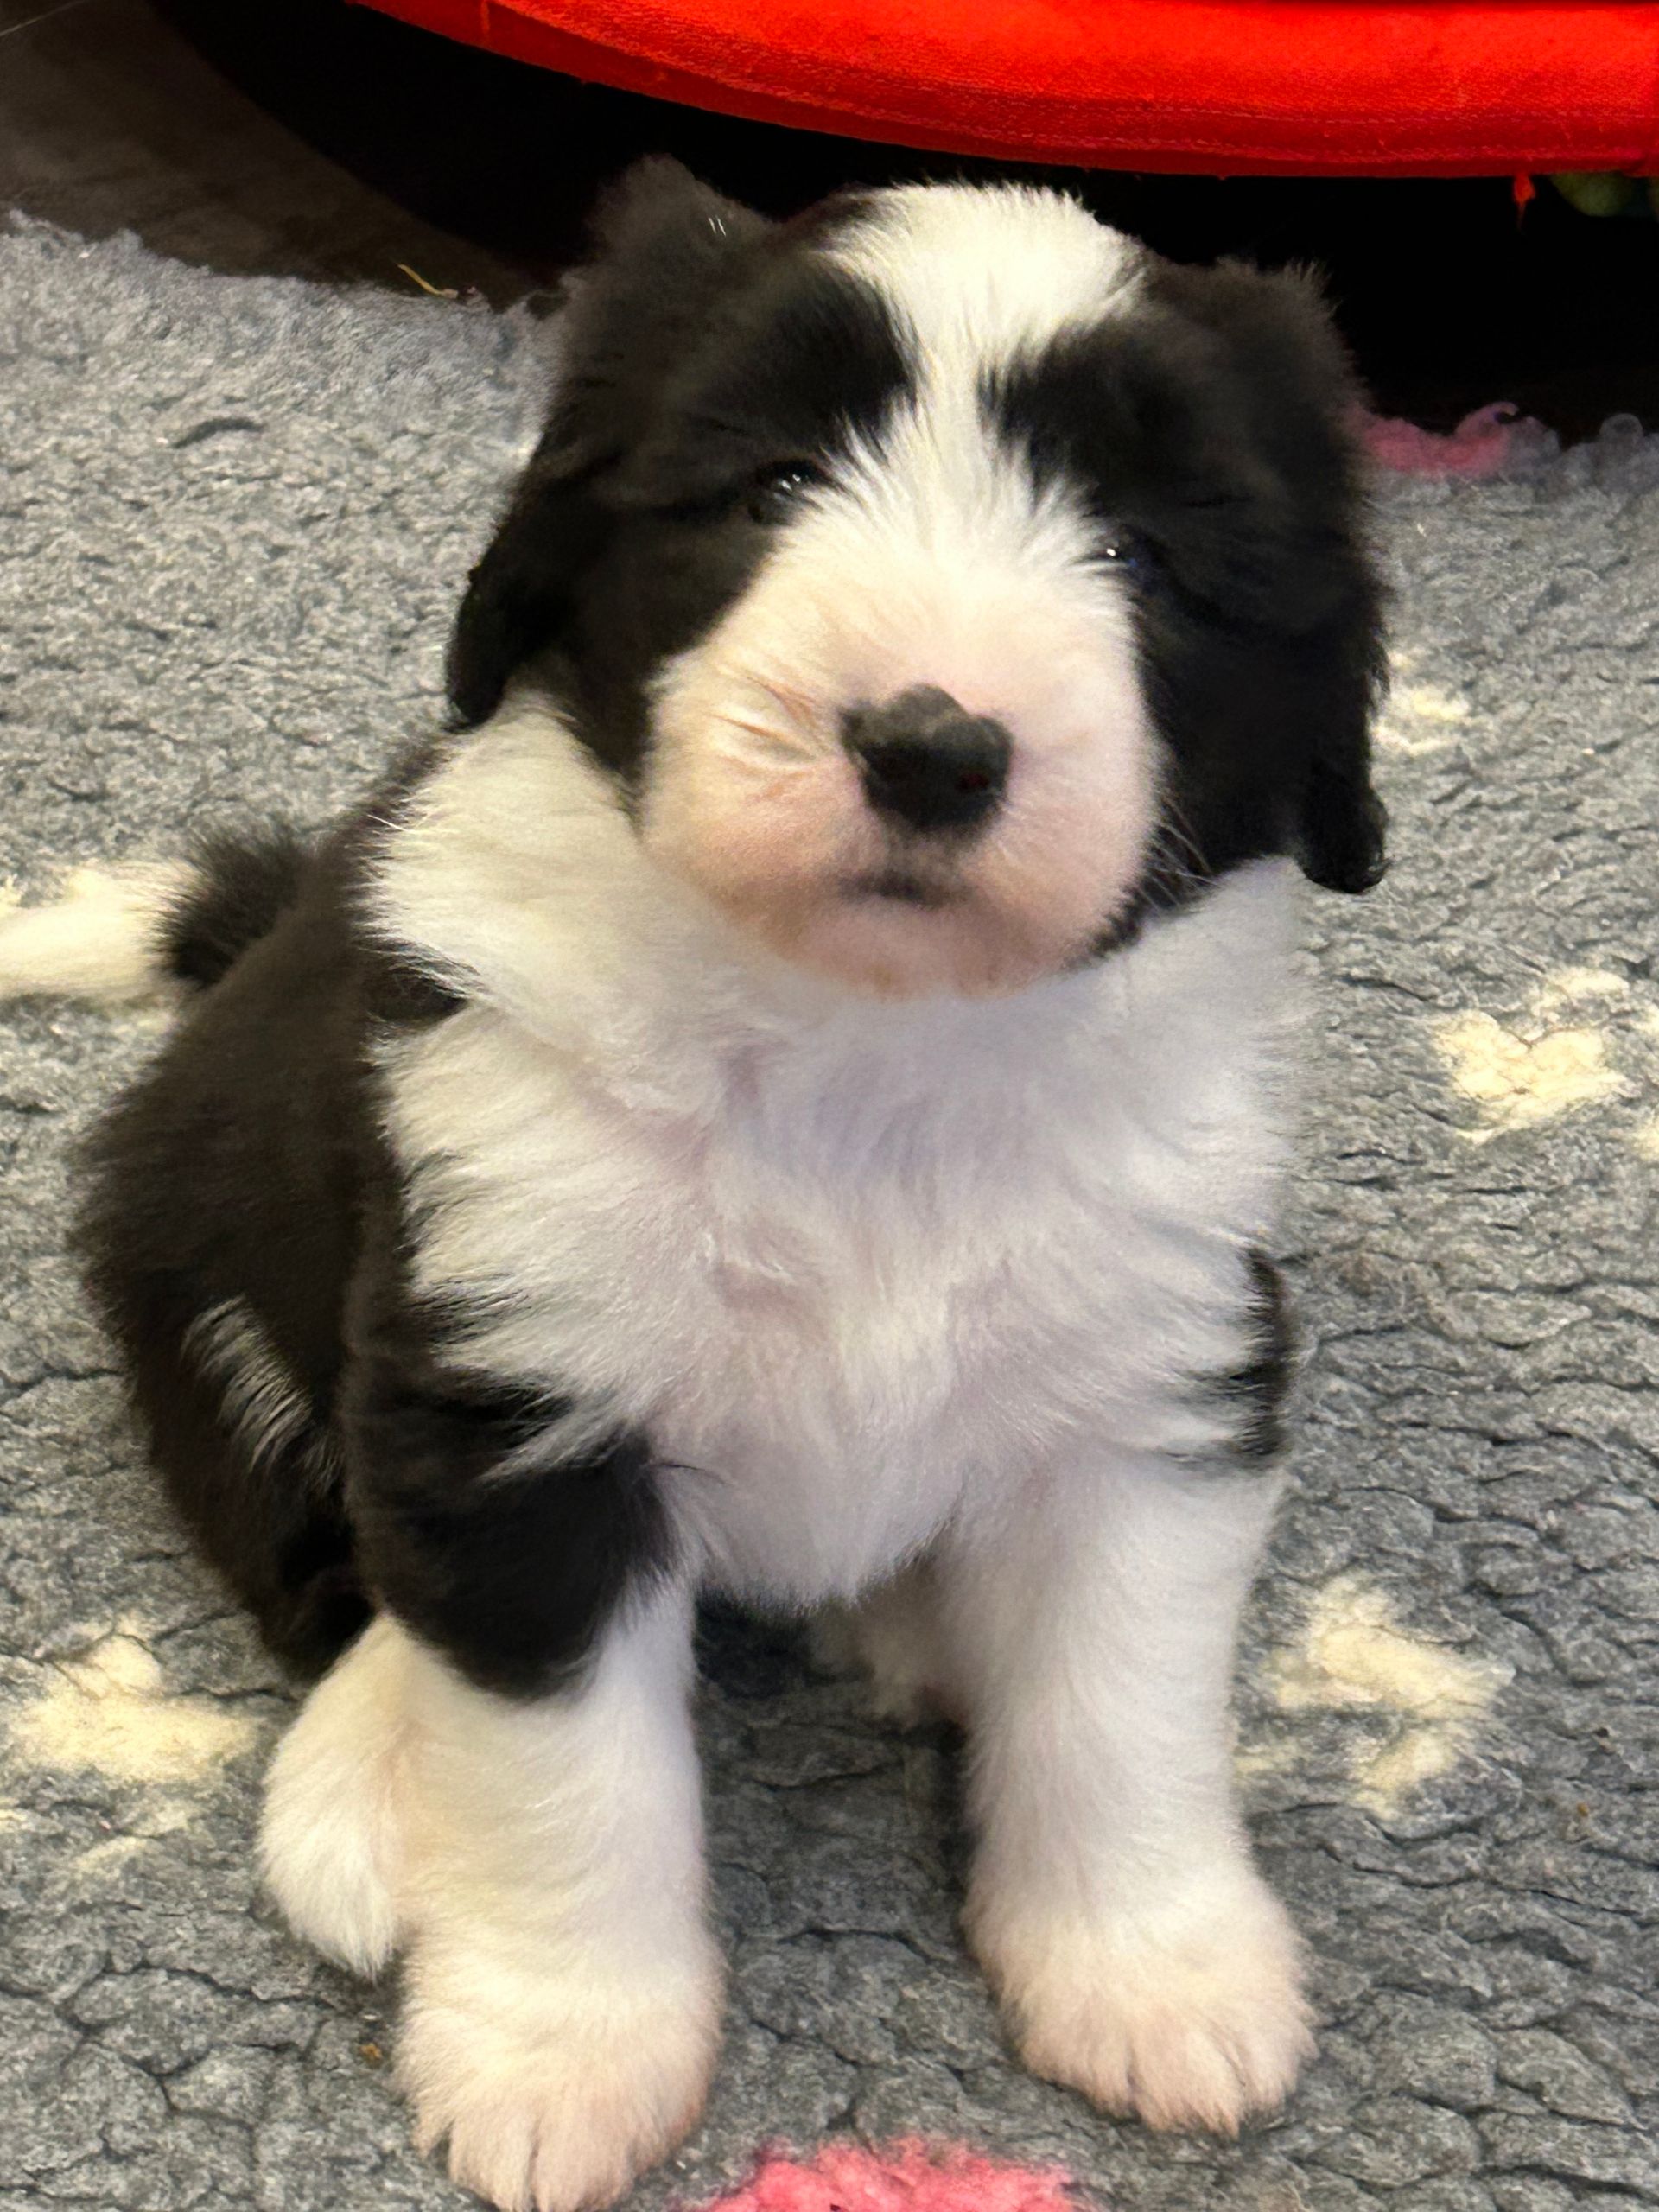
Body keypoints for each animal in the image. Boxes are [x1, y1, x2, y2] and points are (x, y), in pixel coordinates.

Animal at [0, 161, 1387, 2212]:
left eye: (1143, 555)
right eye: (768, 487)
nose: (930, 745)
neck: (863, 1054)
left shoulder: (1165, 1367)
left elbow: (1122, 1704)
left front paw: (1155, 1971)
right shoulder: (515, 1386)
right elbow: (565, 1767)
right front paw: (560, 2055)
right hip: (213, 1298)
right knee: (336, 1577)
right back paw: (368, 1783)